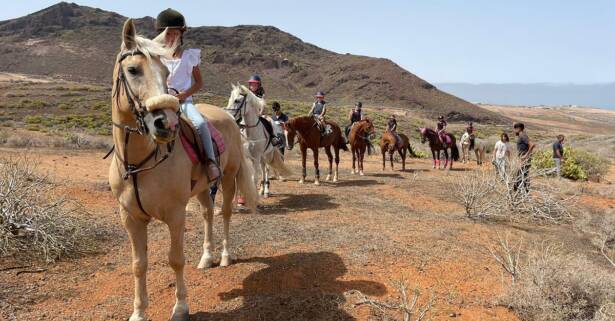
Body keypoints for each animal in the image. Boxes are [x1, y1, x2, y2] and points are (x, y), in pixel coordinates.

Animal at [108, 20, 258, 320]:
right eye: (133, 70)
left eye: (165, 72)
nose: (165, 123)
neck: (139, 162)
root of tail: (228, 117)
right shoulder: (130, 218)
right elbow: (139, 264)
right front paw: (139, 312)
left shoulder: (175, 214)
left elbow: (175, 260)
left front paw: (180, 307)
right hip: (202, 188)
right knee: (208, 215)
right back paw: (206, 258)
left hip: (228, 180)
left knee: (225, 214)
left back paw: (224, 256)